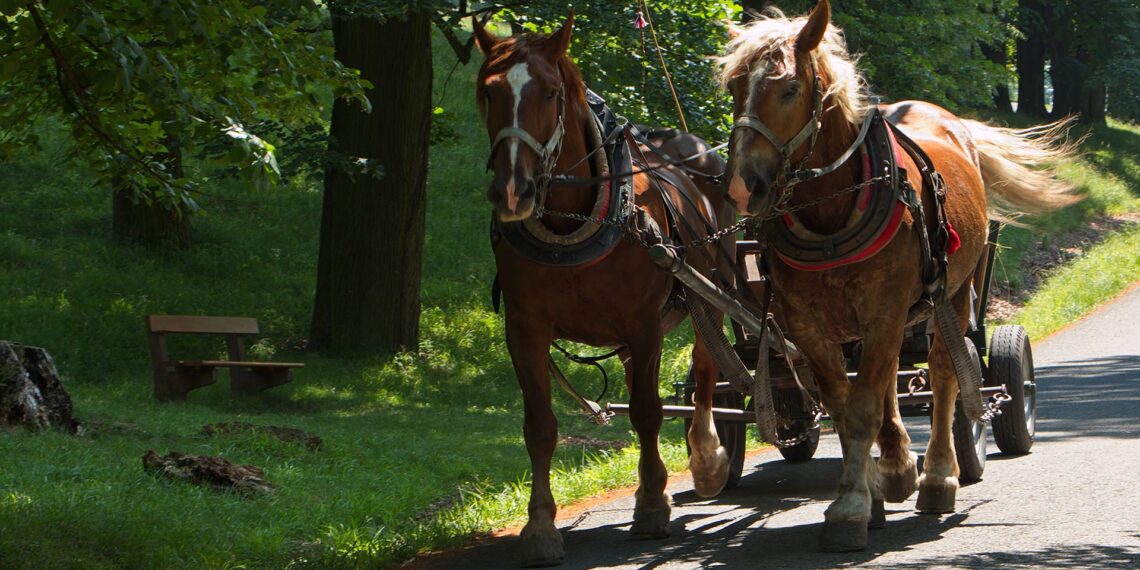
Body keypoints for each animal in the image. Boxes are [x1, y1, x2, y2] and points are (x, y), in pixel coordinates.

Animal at [471, 14, 737, 566]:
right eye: (489, 92)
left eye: (551, 93)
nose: (512, 191)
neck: (573, 218)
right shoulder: (525, 331)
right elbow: (541, 428)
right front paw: (540, 525)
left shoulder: (643, 322)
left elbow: (647, 412)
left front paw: (653, 507)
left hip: (709, 296)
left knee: (704, 371)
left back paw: (705, 459)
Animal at [719, 0, 1075, 551]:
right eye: (734, 86)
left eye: (789, 88)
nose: (742, 185)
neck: (832, 212)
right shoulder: (809, 323)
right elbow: (846, 405)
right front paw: (867, 490)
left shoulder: (885, 309)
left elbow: (868, 404)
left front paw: (852, 504)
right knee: (888, 380)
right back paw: (894, 468)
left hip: (952, 296)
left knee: (946, 376)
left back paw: (936, 477)